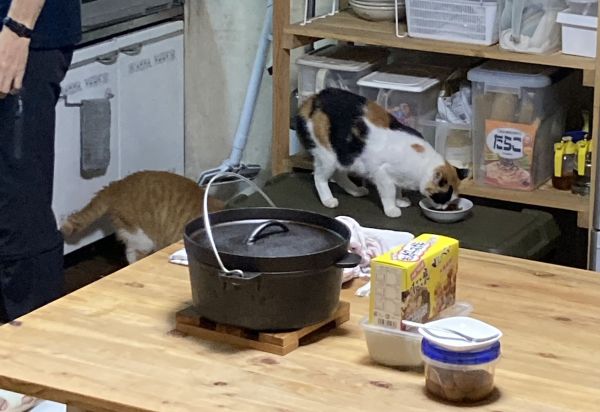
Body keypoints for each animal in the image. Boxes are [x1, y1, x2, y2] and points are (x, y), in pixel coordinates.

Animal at [295, 88, 469, 218]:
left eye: (452, 199)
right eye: (443, 196)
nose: (444, 208)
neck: (421, 162)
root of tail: (312, 99)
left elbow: (398, 189)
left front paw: (400, 200)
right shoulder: (382, 174)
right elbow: (389, 192)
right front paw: (392, 208)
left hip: (345, 158)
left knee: (339, 175)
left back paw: (356, 191)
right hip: (328, 156)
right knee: (319, 177)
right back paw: (328, 199)